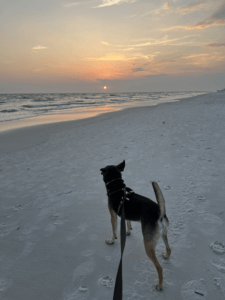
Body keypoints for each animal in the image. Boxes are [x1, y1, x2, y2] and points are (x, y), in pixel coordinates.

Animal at [100, 162, 171, 290]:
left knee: (159, 268)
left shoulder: (112, 215)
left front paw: (111, 240)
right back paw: (167, 255)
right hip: (163, 234)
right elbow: (128, 222)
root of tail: (160, 213)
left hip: (148, 244)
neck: (117, 187)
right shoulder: (125, 214)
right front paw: (128, 231)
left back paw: (159, 285)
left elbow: (114, 230)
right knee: (169, 248)